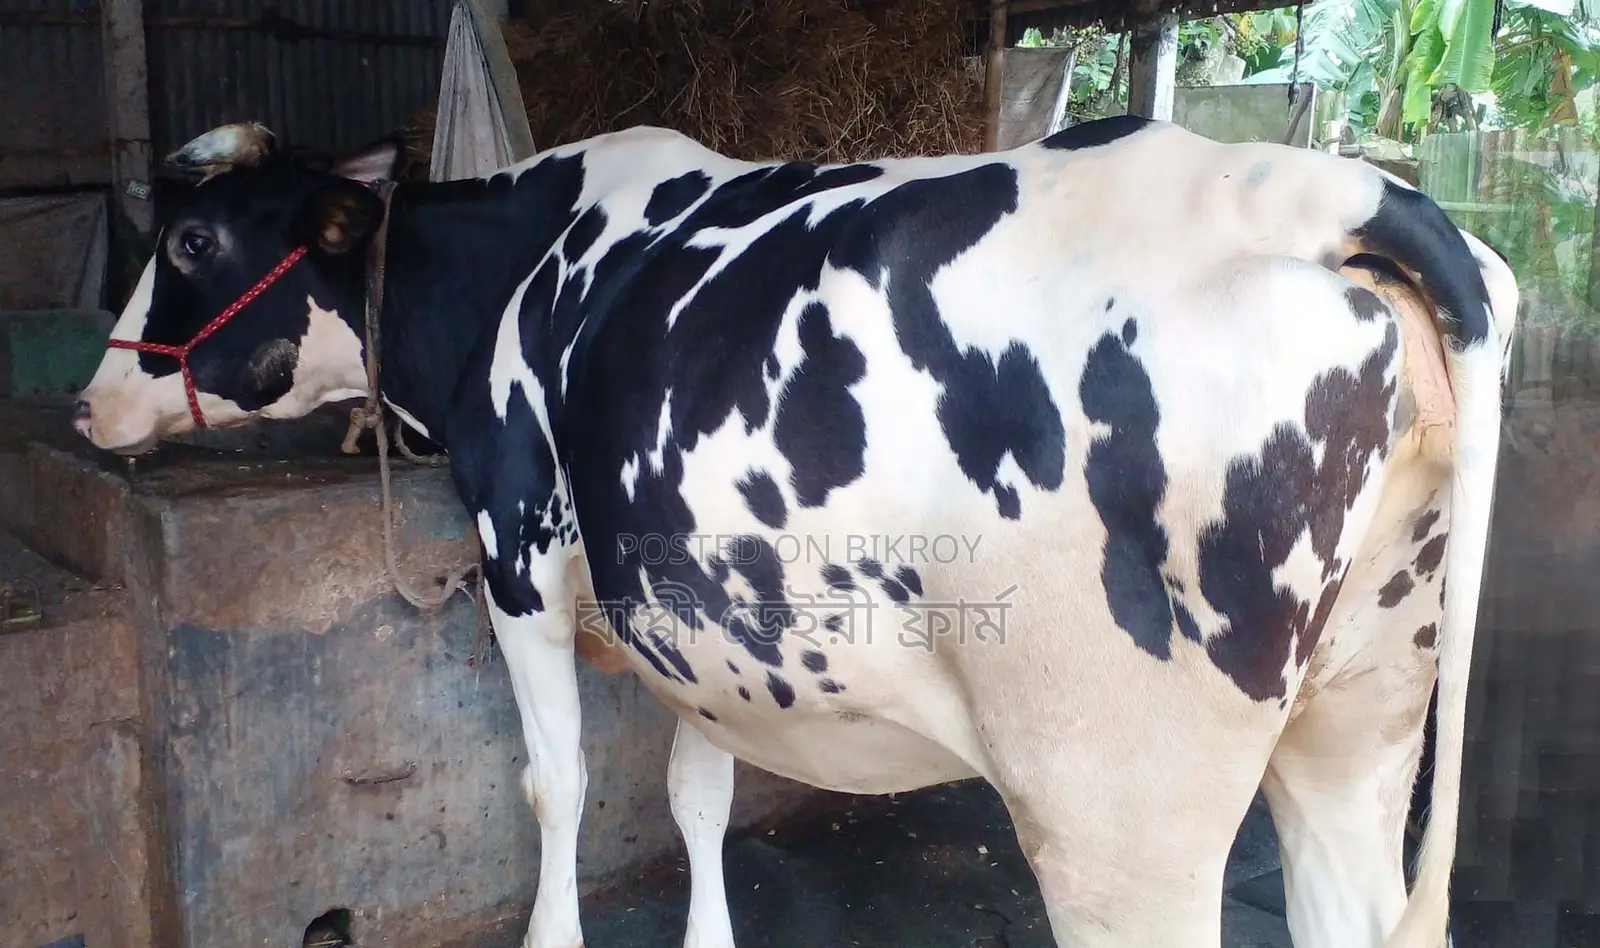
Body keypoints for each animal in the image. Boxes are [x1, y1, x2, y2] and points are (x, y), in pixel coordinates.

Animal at [74, 115, 1518, 948]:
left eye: (192, 240)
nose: (90, 403)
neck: (517, 268)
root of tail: (1327, 194)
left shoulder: (517, 558)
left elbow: (558, 784)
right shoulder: (698, 617)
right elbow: (698, 793)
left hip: (1121, 808)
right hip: (1363, 711)